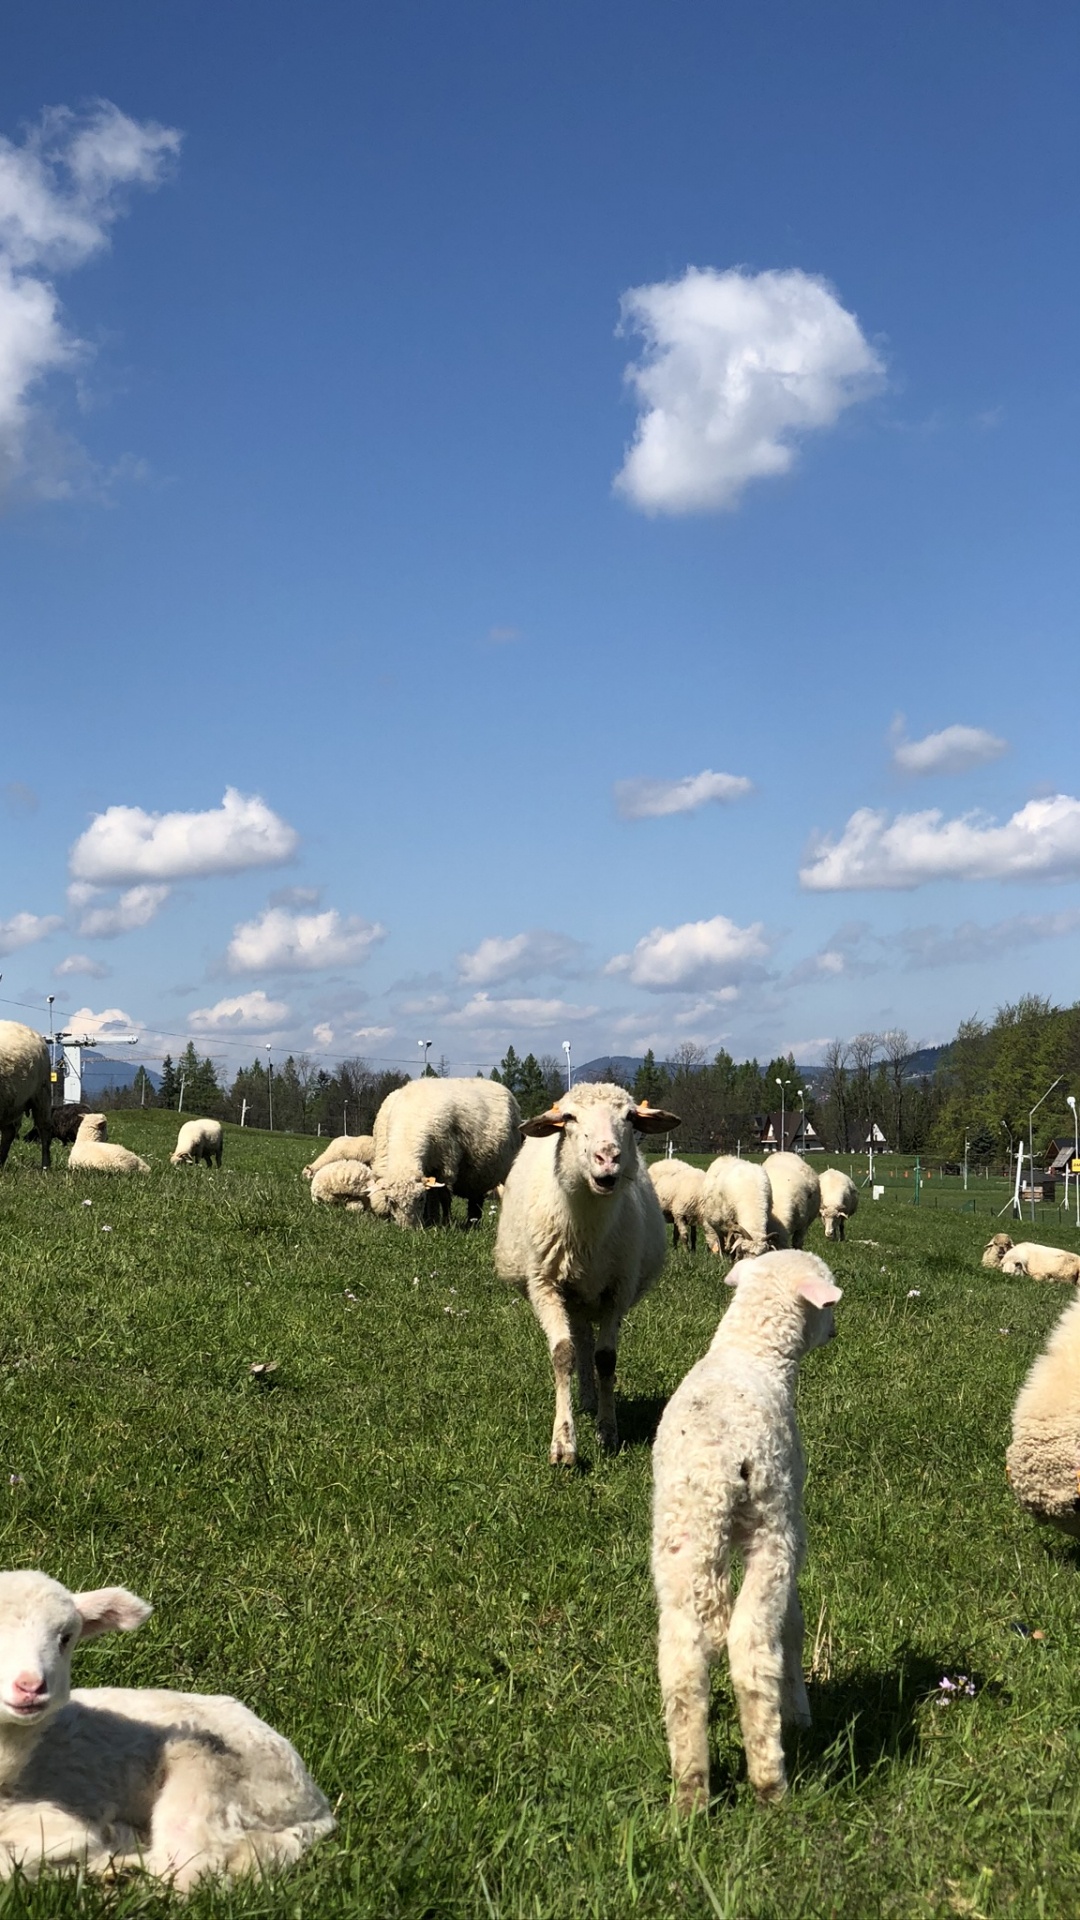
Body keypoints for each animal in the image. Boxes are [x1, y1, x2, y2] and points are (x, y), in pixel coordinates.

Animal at [0, 1570, 335, 1887]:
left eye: (66, 1638)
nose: (30, 1686)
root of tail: (317, 1808)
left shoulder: (58, 1819)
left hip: (213, 1772)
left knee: (191, 1868)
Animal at [370, 1078, 521, 1228]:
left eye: (420, 1199)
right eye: (391, 1201)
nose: (408, 1229)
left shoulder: (446, 1163)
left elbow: (444, 1197)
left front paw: (446, 1223)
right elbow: (433, 1195)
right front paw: (431, 1221)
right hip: (477, 1176)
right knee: (475, 1199)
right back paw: (472, 1223)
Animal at [494, 1085, 681, 1464]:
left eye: (630, 1116)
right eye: (569, 1118)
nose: (607, 1157)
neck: (589, 1231)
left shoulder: (617, 1289)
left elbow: (606, 1359)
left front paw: (607, 1432)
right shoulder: (545, 1285)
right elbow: (563, 1354)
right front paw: (564, 1443)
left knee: (588, 1344)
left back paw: (592, 1400)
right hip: (571, 1295)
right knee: (578, 1342)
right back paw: (584, 1399)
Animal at [651, 1250, 842, 1813]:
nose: (834, 1329)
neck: (748, 1351)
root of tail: (719, 1468)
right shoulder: (791, 1518)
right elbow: (794, 1625)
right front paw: (801, 1713)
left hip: (680, 1538)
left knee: (683, 1660)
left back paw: (691, 1794)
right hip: (771, 1529)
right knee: (752, 1644)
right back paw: (770, 1782)